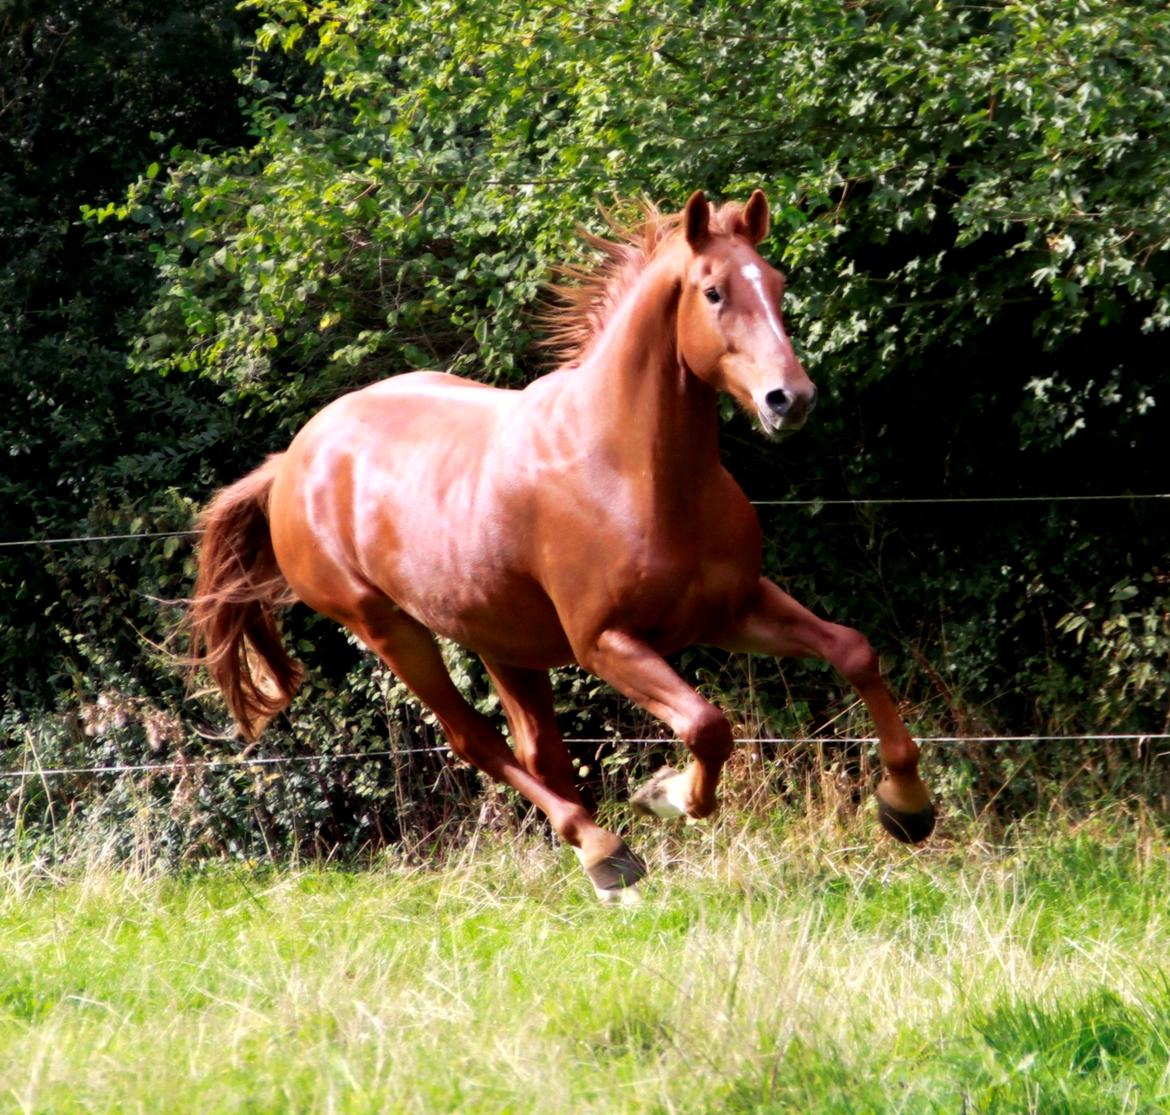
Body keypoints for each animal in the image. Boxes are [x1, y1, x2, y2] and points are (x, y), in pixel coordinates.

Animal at [189, 191, 931, 898]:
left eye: (776, 282)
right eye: (714, 291)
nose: (790, 399)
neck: (634, 470)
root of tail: (291, 460)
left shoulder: (732, 608)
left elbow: (853, 650)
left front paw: (906, 807)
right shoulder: (605, 641)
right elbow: (706, 724)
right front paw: (667, 796)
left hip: (501, 638)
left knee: (538, 748)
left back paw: (599, 860)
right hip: (389, 629)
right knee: (476, 740)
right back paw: (605, 851)